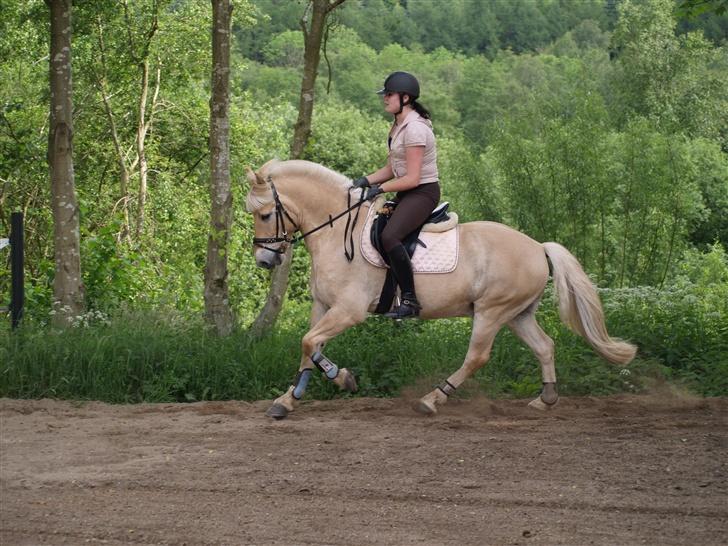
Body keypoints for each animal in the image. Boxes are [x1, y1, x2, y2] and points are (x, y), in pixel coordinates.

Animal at [243, 157, 632, 416]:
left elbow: (309, 343)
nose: (264, 260)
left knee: (477, 356)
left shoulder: (348, 311)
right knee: (545, 346)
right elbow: (308, 346)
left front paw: (344, 379)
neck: (337, 232)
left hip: (492, 311)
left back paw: (433, 398)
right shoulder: (323, 306)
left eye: (265, 214)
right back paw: (545, 398)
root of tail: (538, 247)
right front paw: (288, 400)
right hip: (517, 314)